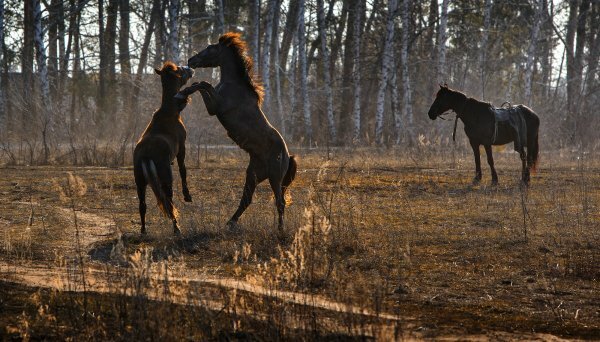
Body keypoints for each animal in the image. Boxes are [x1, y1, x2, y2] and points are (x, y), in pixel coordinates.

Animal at [134, 62, 195, 235]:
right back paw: (176, 229)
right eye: (180, 71)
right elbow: (183, 169)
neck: (170, 112)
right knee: (168, 200)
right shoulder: (182, 148)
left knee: (142, 205)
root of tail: (146, 154)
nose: (190, 68)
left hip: (139, 181)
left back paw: (143, 230)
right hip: (165, 177)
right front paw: (187, 195)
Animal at [179, 32, 298, 230]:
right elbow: (203, 84)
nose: (191, 60)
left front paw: (185, 91)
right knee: (246, 200)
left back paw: (280, 229)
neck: (233, 84)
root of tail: (287, 156)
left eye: (210, 48)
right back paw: (230, 222)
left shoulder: (215, 107)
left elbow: (204, 84)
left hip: (275, 178)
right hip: (253, 175)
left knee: (279, 202)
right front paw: (185, 89)